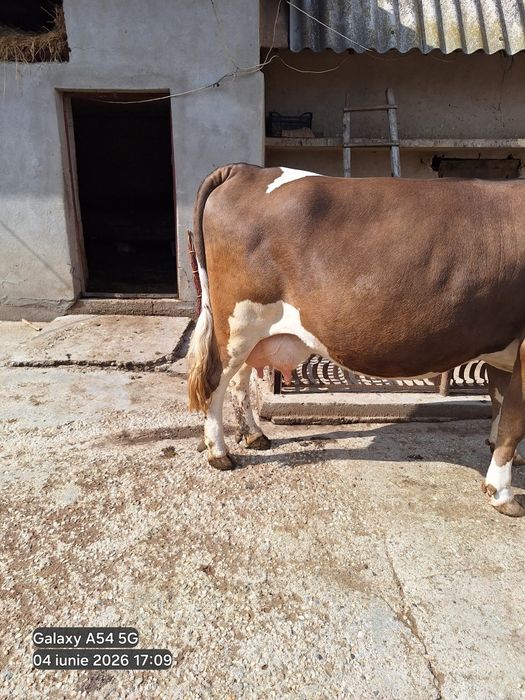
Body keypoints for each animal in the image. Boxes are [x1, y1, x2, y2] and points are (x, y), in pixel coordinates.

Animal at [187, 163, 525, 517]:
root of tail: (246, 170)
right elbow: (514, 419)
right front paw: (503, 493)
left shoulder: (502, 348)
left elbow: (500, 404)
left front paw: (502, 455)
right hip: (238, 321)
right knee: (214, 381)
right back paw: (219, 453)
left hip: (247, 331)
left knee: (239, 380)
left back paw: (254, 436)